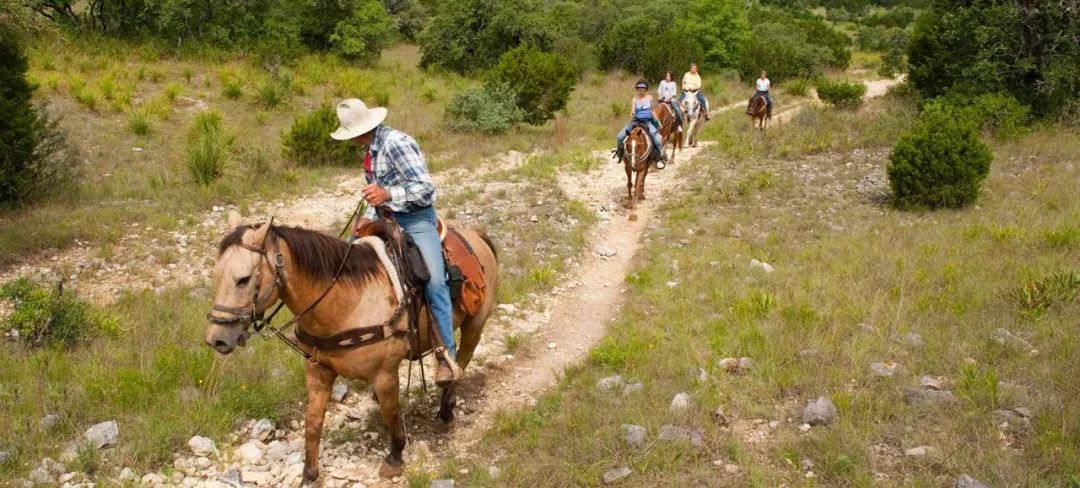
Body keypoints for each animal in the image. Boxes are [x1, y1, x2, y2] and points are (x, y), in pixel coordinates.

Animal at [204, 213, 498, 483]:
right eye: (216, 276)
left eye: (243, 279)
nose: (216, 339)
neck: (347, 302)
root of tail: (475, 235)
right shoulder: (318, 370)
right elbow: (313, 423)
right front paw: (309, 475)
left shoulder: (385, 375)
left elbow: (391, 415)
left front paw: (394, 458)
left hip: (475, 325)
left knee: (461, 362)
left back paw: (446, 408)